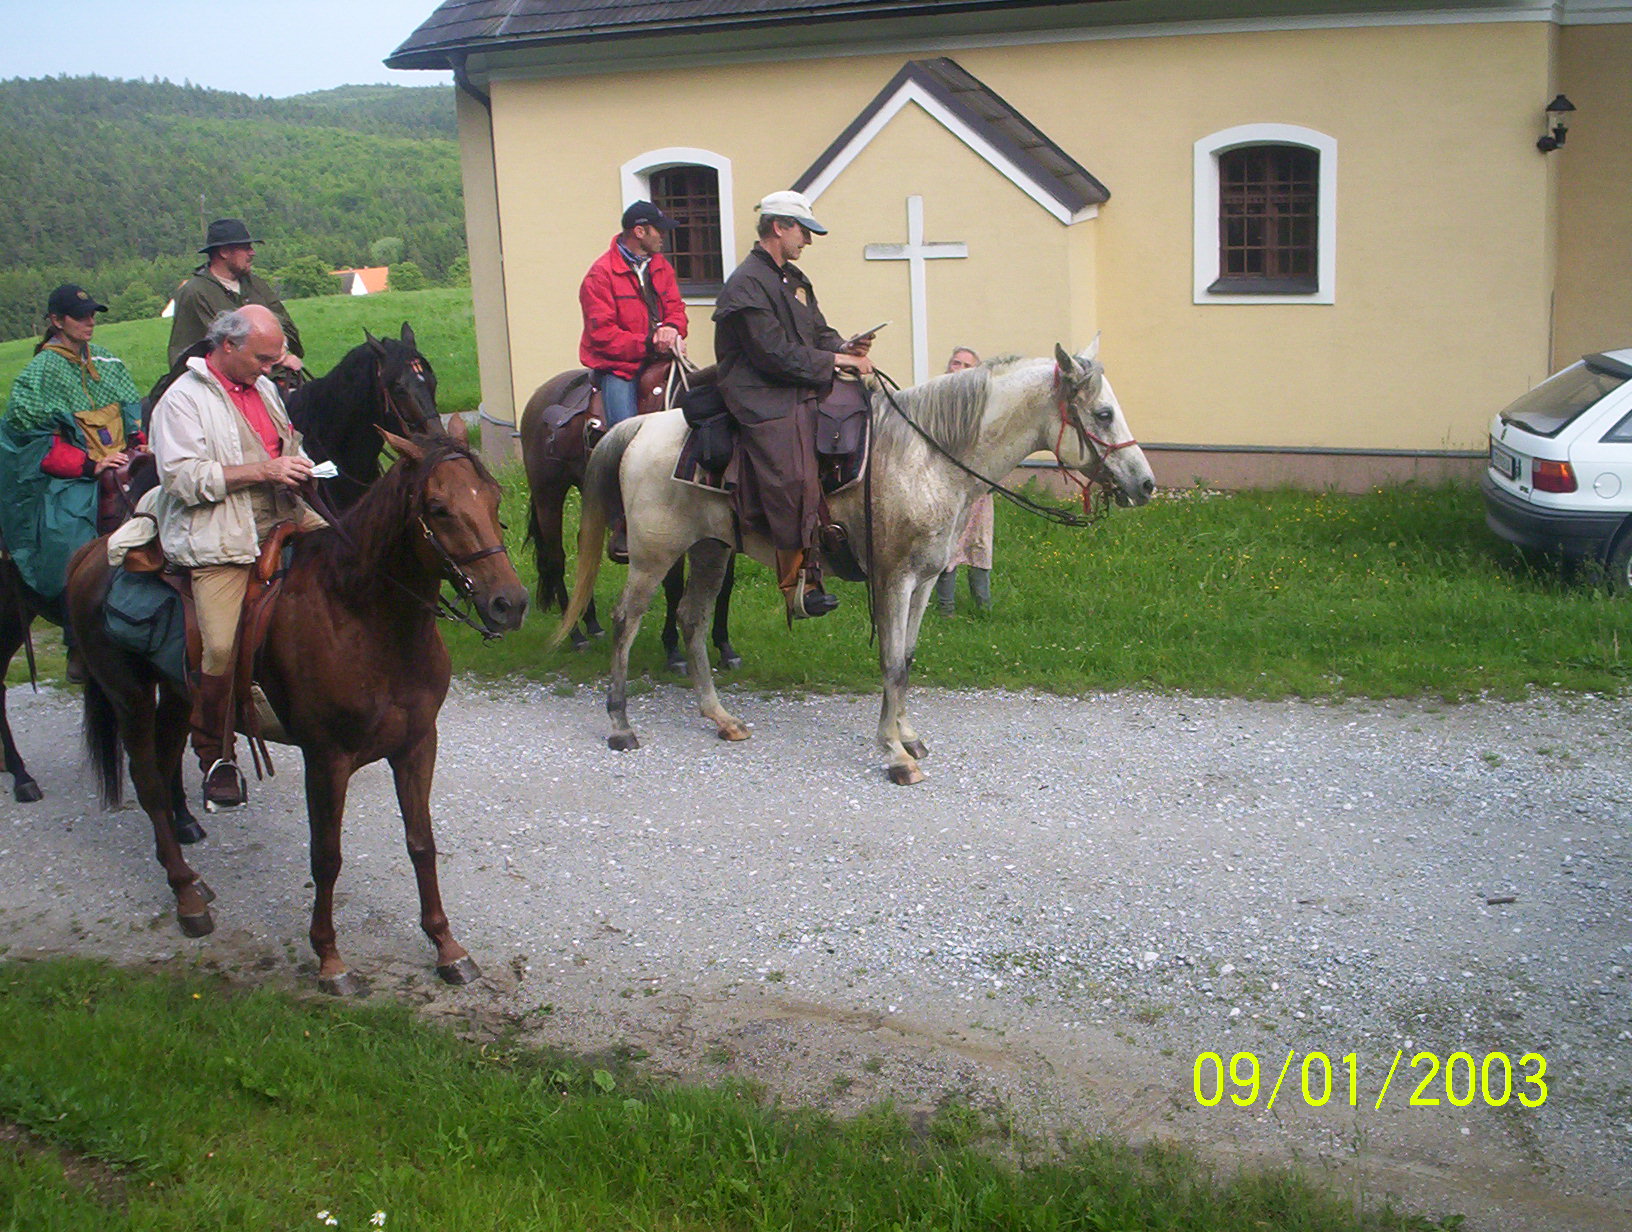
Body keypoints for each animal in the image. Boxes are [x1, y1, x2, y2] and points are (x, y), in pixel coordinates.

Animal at [64, 432, 528, 994]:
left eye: (494, 499)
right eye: (438, 508)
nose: (509, 604)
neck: (360, 617)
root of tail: (90, 554)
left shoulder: (417, 745)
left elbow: (422, 843)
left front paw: (446, 946)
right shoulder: (326, 759)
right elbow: (326, 857)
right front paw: (330, 958)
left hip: (177, 695)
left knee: (168, 755)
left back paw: (194, 871)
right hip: (129, 696)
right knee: (148, 783)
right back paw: (187, 897)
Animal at [519, 363, 741, 670]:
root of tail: (539, 396)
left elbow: (724, 585)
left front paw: (725, 646)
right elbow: (673, 586)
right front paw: (673, 650)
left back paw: (591, 622)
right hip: (548, 495)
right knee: (555, 559)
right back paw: (575, 634)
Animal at [551, 343, 1155, 784]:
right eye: (1103, 412)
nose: (1145, 484)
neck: (928, 457)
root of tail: (642, 427)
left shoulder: (926, 580)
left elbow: (906, 659)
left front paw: (907, 735)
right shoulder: (894, 579)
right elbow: (890, 662)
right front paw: (893, 754)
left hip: (709, 551)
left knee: (693, 620)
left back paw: (720, 718)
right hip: (653, 557)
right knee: (626, 622)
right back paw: (620, 722)